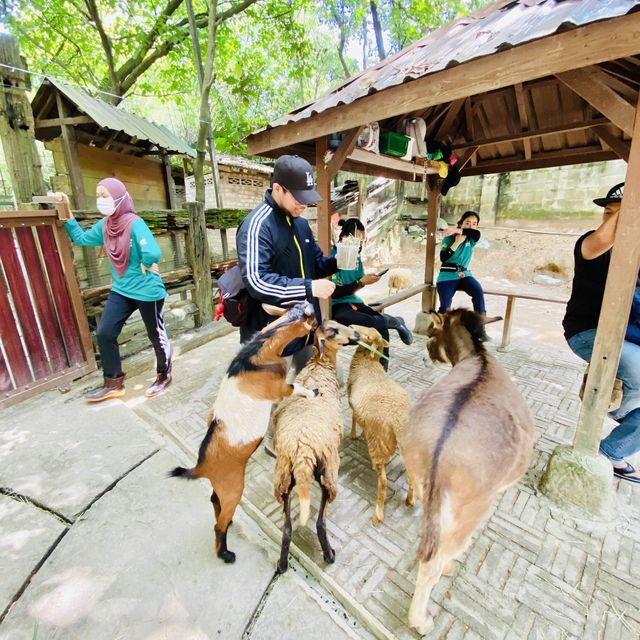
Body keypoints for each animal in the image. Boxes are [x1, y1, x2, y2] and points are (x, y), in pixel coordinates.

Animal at [171, 302, 318, 564]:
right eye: (311, 319)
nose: (319, 324)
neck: (261, 349)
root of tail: (201, 467)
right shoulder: (281, 387)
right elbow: (297, 387)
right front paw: (314, 392)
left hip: (221, 486)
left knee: (214, 501)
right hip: (233, 487)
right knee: (219, 522)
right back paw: (226, 554)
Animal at [270, 320, 360, 576]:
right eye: (334, 331)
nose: (357, 333)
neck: (320, 364)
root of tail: (302, 452)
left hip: (283, 478)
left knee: (287, 528)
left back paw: (282, 565)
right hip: (328, 471)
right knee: (320, 521)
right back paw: (329, 554)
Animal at [348, 324, 412, 524]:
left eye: (368, 336)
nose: (351, 326)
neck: (368, 362)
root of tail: (399, 420)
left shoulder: (351, 399)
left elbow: (354, 418)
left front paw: (353, 435)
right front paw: (361, 435)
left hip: (378, 441)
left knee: (383, 482)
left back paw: (378, 514)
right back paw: (410, 500)